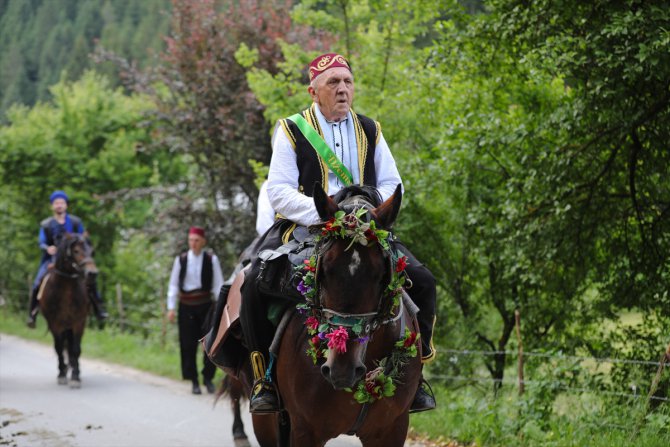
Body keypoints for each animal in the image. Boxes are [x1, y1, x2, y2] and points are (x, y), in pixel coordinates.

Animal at [39, 234, 97, 388]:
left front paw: (75, 377)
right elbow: (59, 348)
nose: (92, 273)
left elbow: (75, 349)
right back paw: (65, 369)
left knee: (72, 348)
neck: (66, 291)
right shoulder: (55, 324)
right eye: (76, 251)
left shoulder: (79, 323)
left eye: (91, 251)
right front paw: (62, 374)